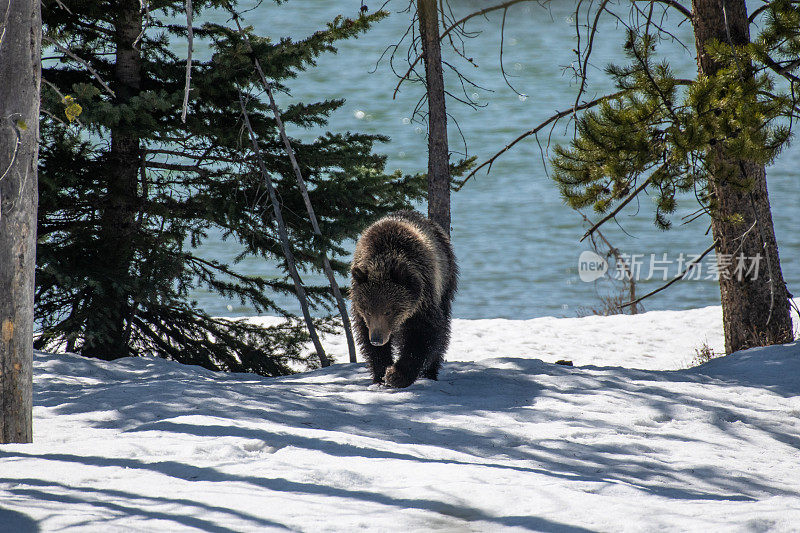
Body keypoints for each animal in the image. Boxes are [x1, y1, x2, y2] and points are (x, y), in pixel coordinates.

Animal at [348, 210, 456, 388]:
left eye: (388, 311)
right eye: (368, 311)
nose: (377, 339)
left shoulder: (423, 299)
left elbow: (423, 335)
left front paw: (396, 375)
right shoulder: (362, 313)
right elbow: (366, 337)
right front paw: (381, 374)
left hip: (446, 279)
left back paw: (430, 372)